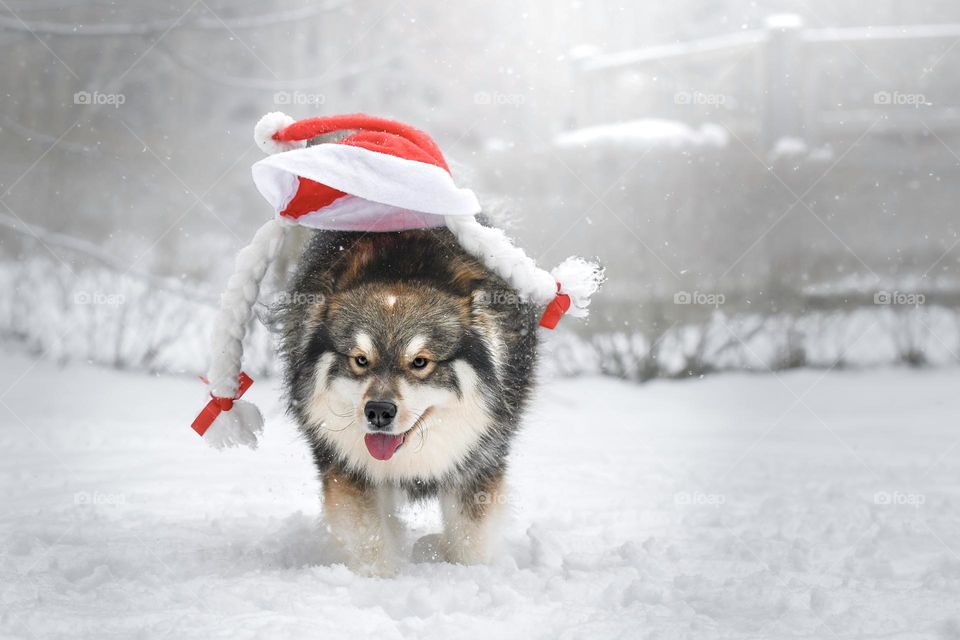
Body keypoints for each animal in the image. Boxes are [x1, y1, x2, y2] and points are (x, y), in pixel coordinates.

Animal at [276, 225, 540, 576]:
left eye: (420, 362)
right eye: (361, 360)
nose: (378, 411)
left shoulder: (478, 462)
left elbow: (470, 541)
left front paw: (469, 575)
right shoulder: (345, 467)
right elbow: (369, 538)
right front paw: (380, 578)